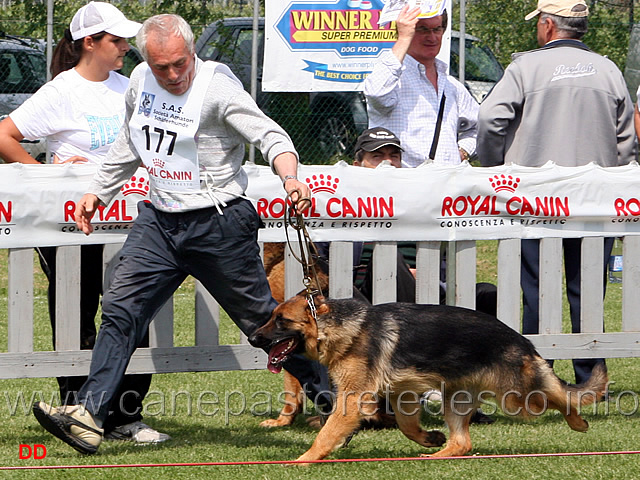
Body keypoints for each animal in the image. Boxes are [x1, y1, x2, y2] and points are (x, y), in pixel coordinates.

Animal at [249, 294, 604, 460]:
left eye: (280, 320)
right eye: (272, 317)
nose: (253, 338)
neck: (340, 327)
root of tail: (522, 341)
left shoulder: (353, 400)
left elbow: (326, 434)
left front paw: (304, 460)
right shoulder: (402, 394)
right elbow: (407, 426)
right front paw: (429, 437)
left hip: (517, 399)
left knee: (560, 396)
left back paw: (578, 421)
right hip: (458, 399)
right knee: (462, 442)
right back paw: (436, 453)